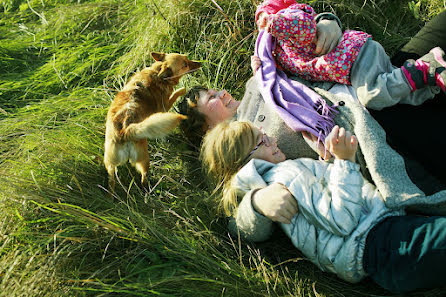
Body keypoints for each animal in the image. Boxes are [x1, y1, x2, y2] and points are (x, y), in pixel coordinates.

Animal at [103, 52, 200, 191]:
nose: (200, 63)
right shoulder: (165, 107)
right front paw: (183, 90)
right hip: (144, 159)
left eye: (187, 58)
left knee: (111, 180)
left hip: (110, 163)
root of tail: (124, 131)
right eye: (185, 64)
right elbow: (175, 94)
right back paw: (147, 188)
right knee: (143, 176)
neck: (157, 72)